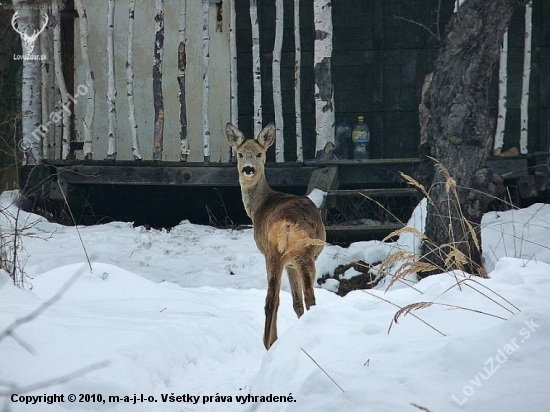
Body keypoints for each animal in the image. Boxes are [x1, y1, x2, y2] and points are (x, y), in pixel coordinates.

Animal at [226, 124, 326, 350]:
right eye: (240, 154)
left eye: (259, 154)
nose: (248, 169)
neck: (259, 206)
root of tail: (287, 223)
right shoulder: (290, 263)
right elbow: (296, 302)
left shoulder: (287, 263)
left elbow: (295, 302)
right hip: (299, 253)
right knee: (296, 297)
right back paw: (271, 342)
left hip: (279, 254)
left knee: (276, 298)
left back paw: (269, 342)